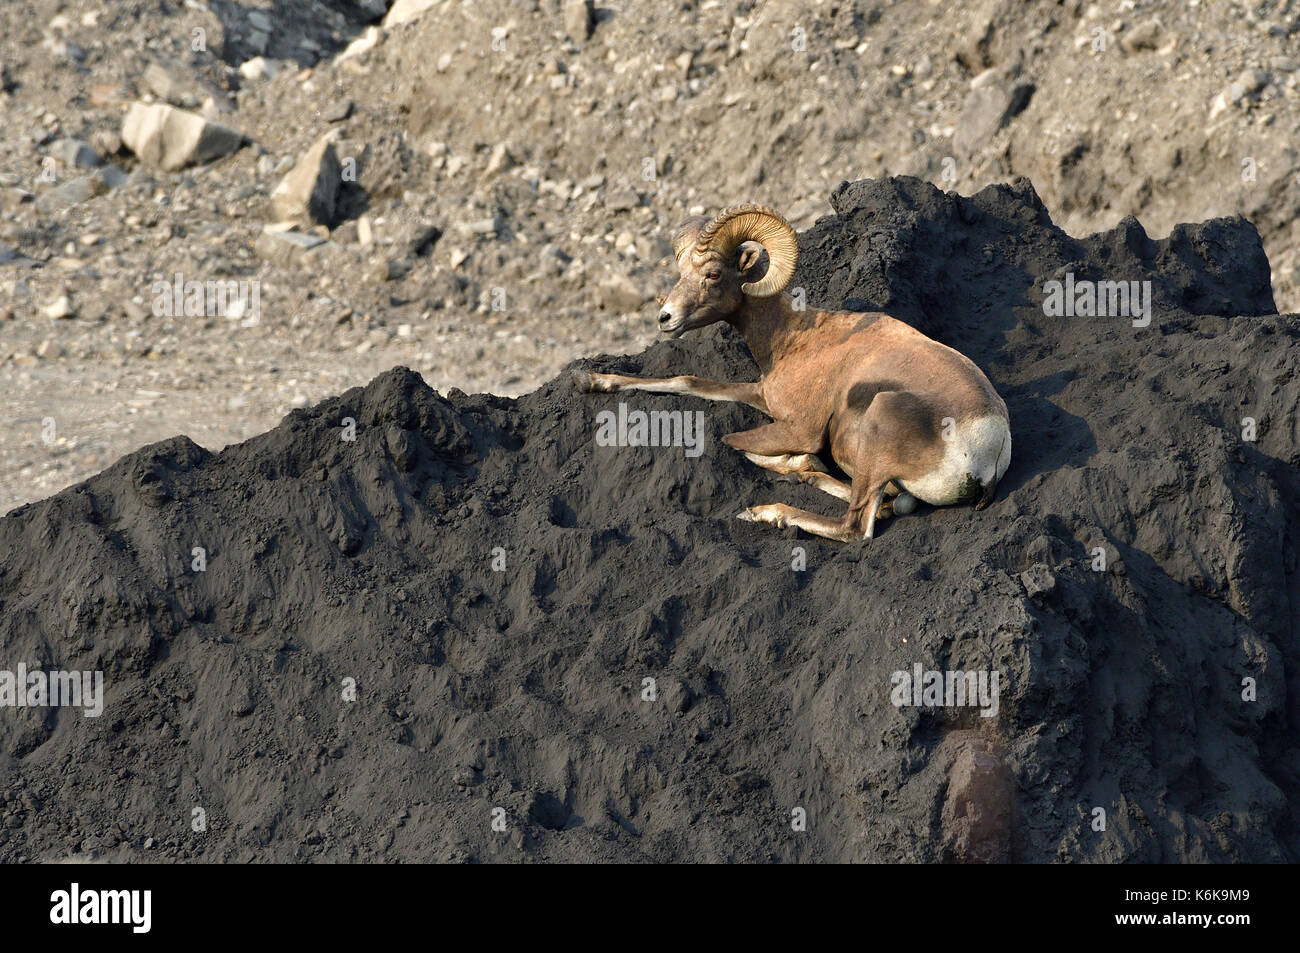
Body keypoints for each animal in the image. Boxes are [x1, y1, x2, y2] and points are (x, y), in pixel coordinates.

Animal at [574, 204, 1008, 538]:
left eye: (713, 274)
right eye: (680, 273)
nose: (665, 318)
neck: (795, 336)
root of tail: (989, 446)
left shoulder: (799, 429)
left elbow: (729, 439)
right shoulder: (762, 394)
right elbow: (689, 380)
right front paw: (592, 380)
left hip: (880, 422)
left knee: (856, 526)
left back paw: (767, 511)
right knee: (883, 502)